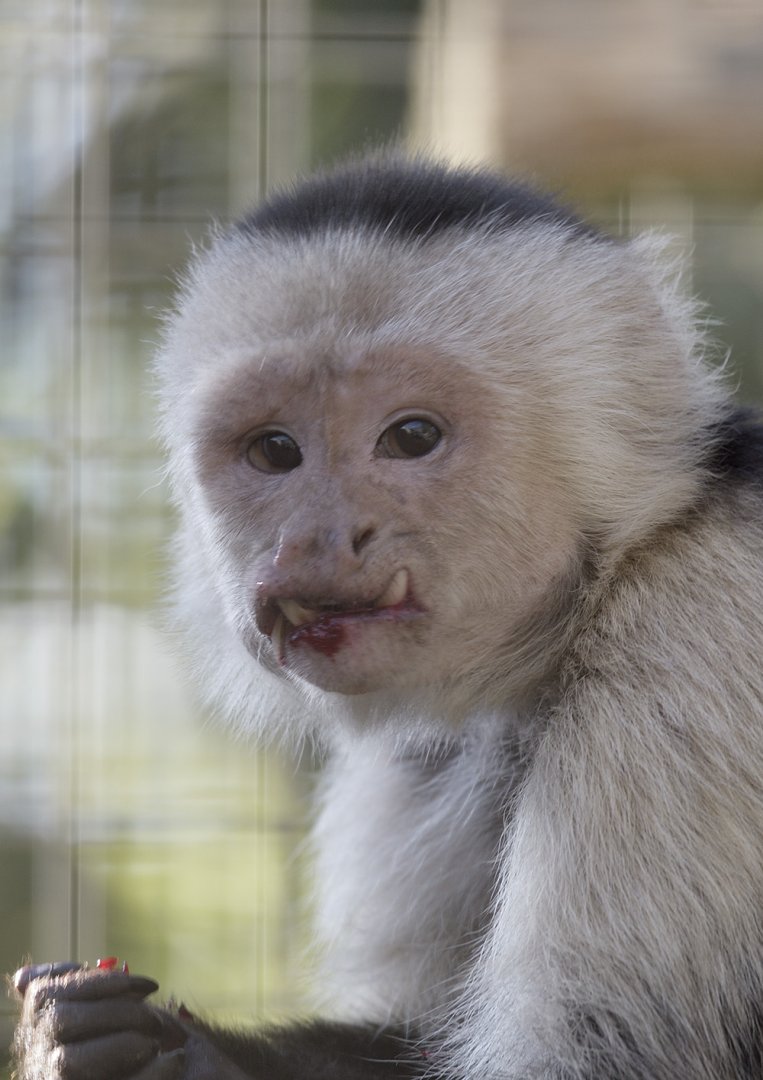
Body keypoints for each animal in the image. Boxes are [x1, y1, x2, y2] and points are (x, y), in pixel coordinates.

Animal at [11, 152, 763, 1080]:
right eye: (274, 451)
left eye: (411, 436)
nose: (318, 536)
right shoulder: (427, 757)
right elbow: (412, 1026)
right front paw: (103, 1043)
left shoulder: (700, 634)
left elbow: (586, 1054)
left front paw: (180, 1060)